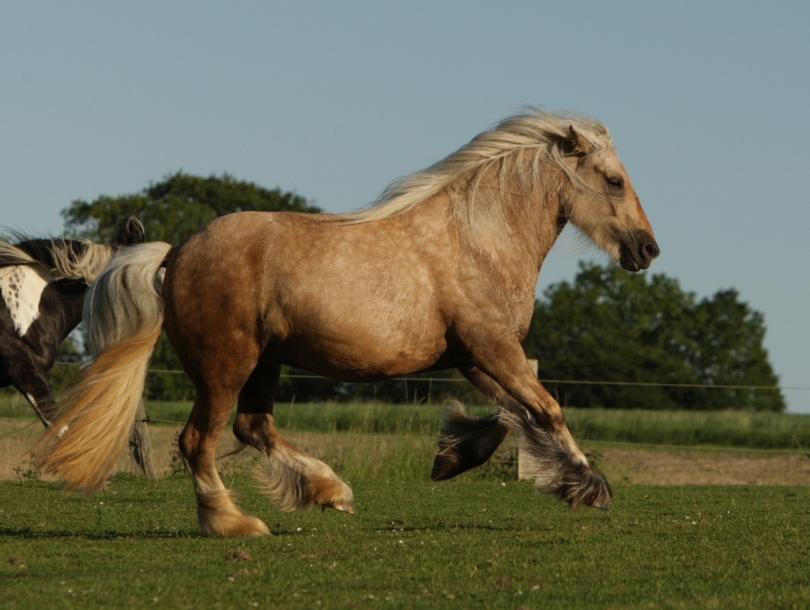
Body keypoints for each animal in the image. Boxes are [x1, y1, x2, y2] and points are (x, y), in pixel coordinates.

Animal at [34, 109, 660, 532]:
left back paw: (329, 490)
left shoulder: (476, 356)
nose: (647, 249)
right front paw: (589, 485)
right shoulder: (492, 349)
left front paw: (452, 457)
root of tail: (176, 254)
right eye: (613, 180)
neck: (478, 238)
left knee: (252, 428)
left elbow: (514, 414)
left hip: (265, 362)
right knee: (198, 441)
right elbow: (547, 409)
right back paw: (234, 523)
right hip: (225, 366)